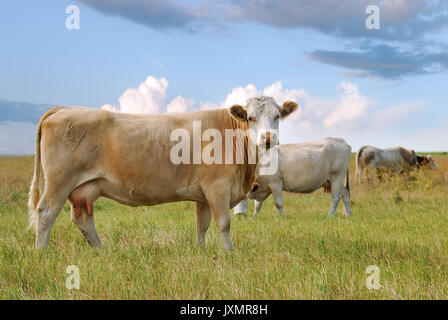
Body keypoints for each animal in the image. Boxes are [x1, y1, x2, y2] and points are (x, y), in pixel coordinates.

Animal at [29, 96, 300, 249]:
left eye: (277, 116)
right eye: (251, 118)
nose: (268, 138)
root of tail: (63, 108)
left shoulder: (204, 194)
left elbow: (202, 225)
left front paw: (201, 251)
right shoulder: (218, 187)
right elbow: (224, 223)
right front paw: (229, 252)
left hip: (84, 188)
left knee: (82, 217)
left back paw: (101, 249)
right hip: (59, 182)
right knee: (46, 213)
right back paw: (41, 251)